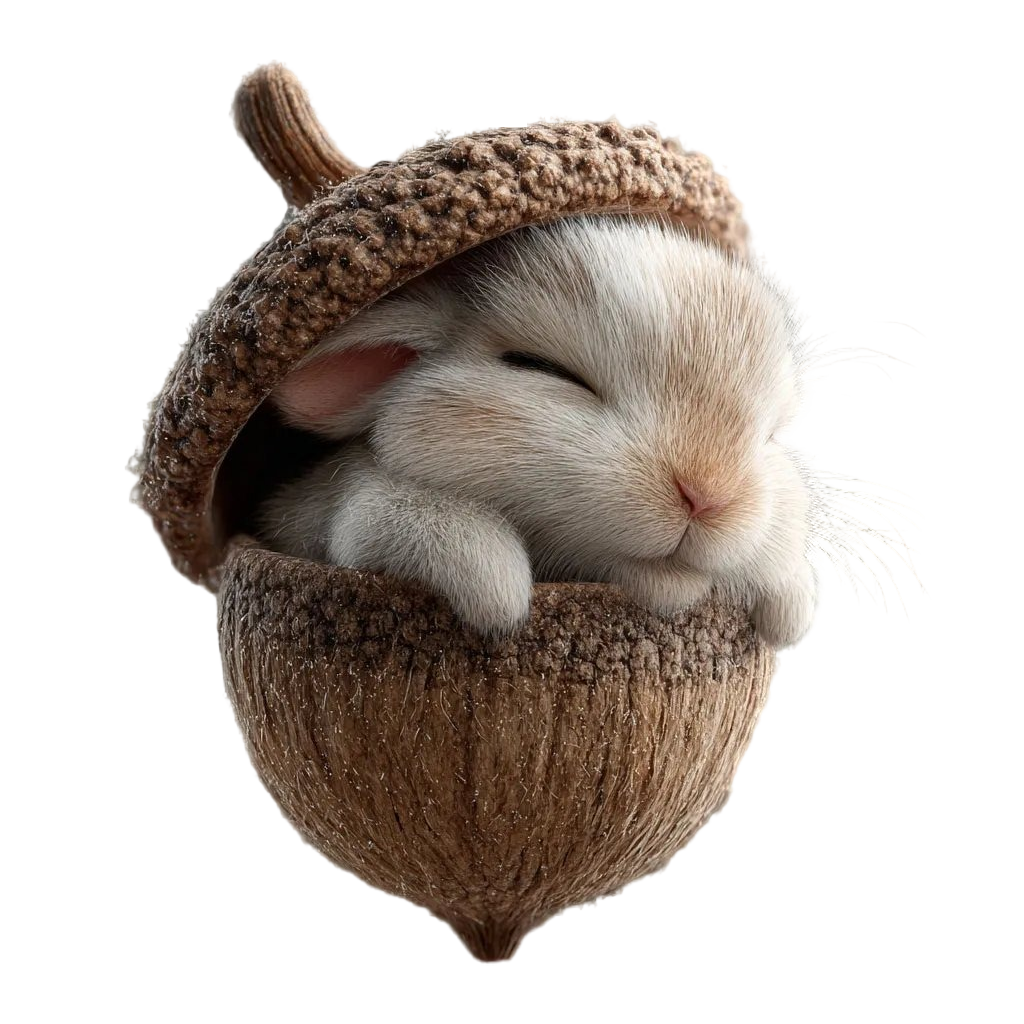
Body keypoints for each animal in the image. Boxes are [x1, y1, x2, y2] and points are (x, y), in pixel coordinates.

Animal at [254, 213, 826, 646]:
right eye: (543, 368)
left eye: (772, 434)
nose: (707, 495)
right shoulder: (348, 510)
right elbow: (391, 517)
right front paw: (495, 589)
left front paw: (787, 599)